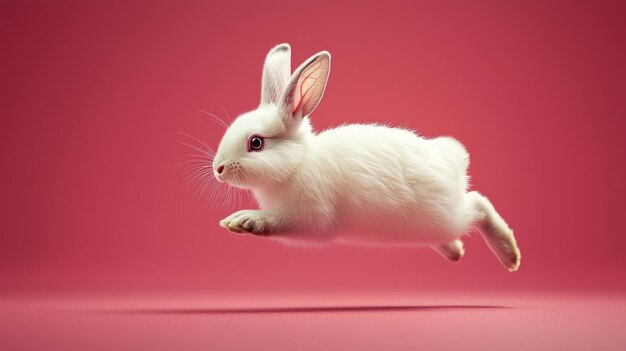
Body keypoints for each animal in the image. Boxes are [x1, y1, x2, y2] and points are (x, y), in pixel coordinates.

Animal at [212, 42, 520, 270]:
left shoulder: (308, 216)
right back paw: (455, 251)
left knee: (479, 205)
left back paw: (510, 256)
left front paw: (243, 220)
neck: (298, 163)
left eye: (256, 143)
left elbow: (275, 221)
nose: (218, 169)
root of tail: (453, 157)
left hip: (444, 215)